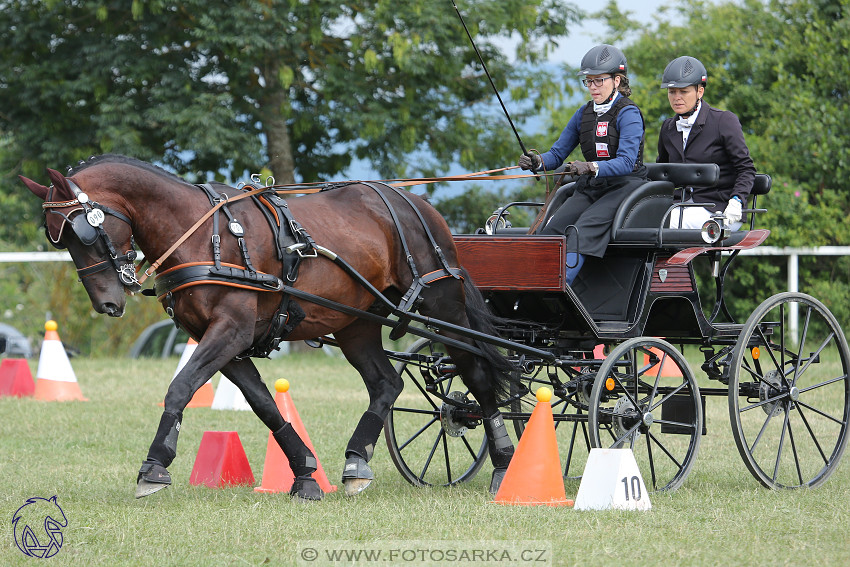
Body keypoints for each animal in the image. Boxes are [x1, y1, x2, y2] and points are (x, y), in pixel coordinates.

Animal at [19, 154, 512, 502]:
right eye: (55, 238)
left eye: (84, 231)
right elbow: (264, 405)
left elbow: (180, 388)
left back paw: (505, 461)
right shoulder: (223, 341)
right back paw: (356, 462)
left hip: (442, 306)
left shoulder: (231, 331)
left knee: (478, 372)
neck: (202, 235)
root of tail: (419, 205)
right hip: (355, 322)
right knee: (386, 384)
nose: (108, 302)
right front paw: (306, 473)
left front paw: (154, 467)